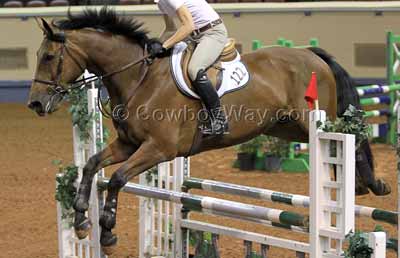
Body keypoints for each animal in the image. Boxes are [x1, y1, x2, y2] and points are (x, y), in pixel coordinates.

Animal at [28, 7, 390, 254]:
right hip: (287, 128)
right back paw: (363, 185)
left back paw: (371, 184)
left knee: (351, 136)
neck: (139, 79)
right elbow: (91, 165)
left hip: (313, 120)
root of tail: (310, 54)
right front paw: (80, 222)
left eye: (48, 56)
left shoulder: (159, 149)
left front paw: (107, 233)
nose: (35, 103)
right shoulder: (129, 145)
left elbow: (116, 179)